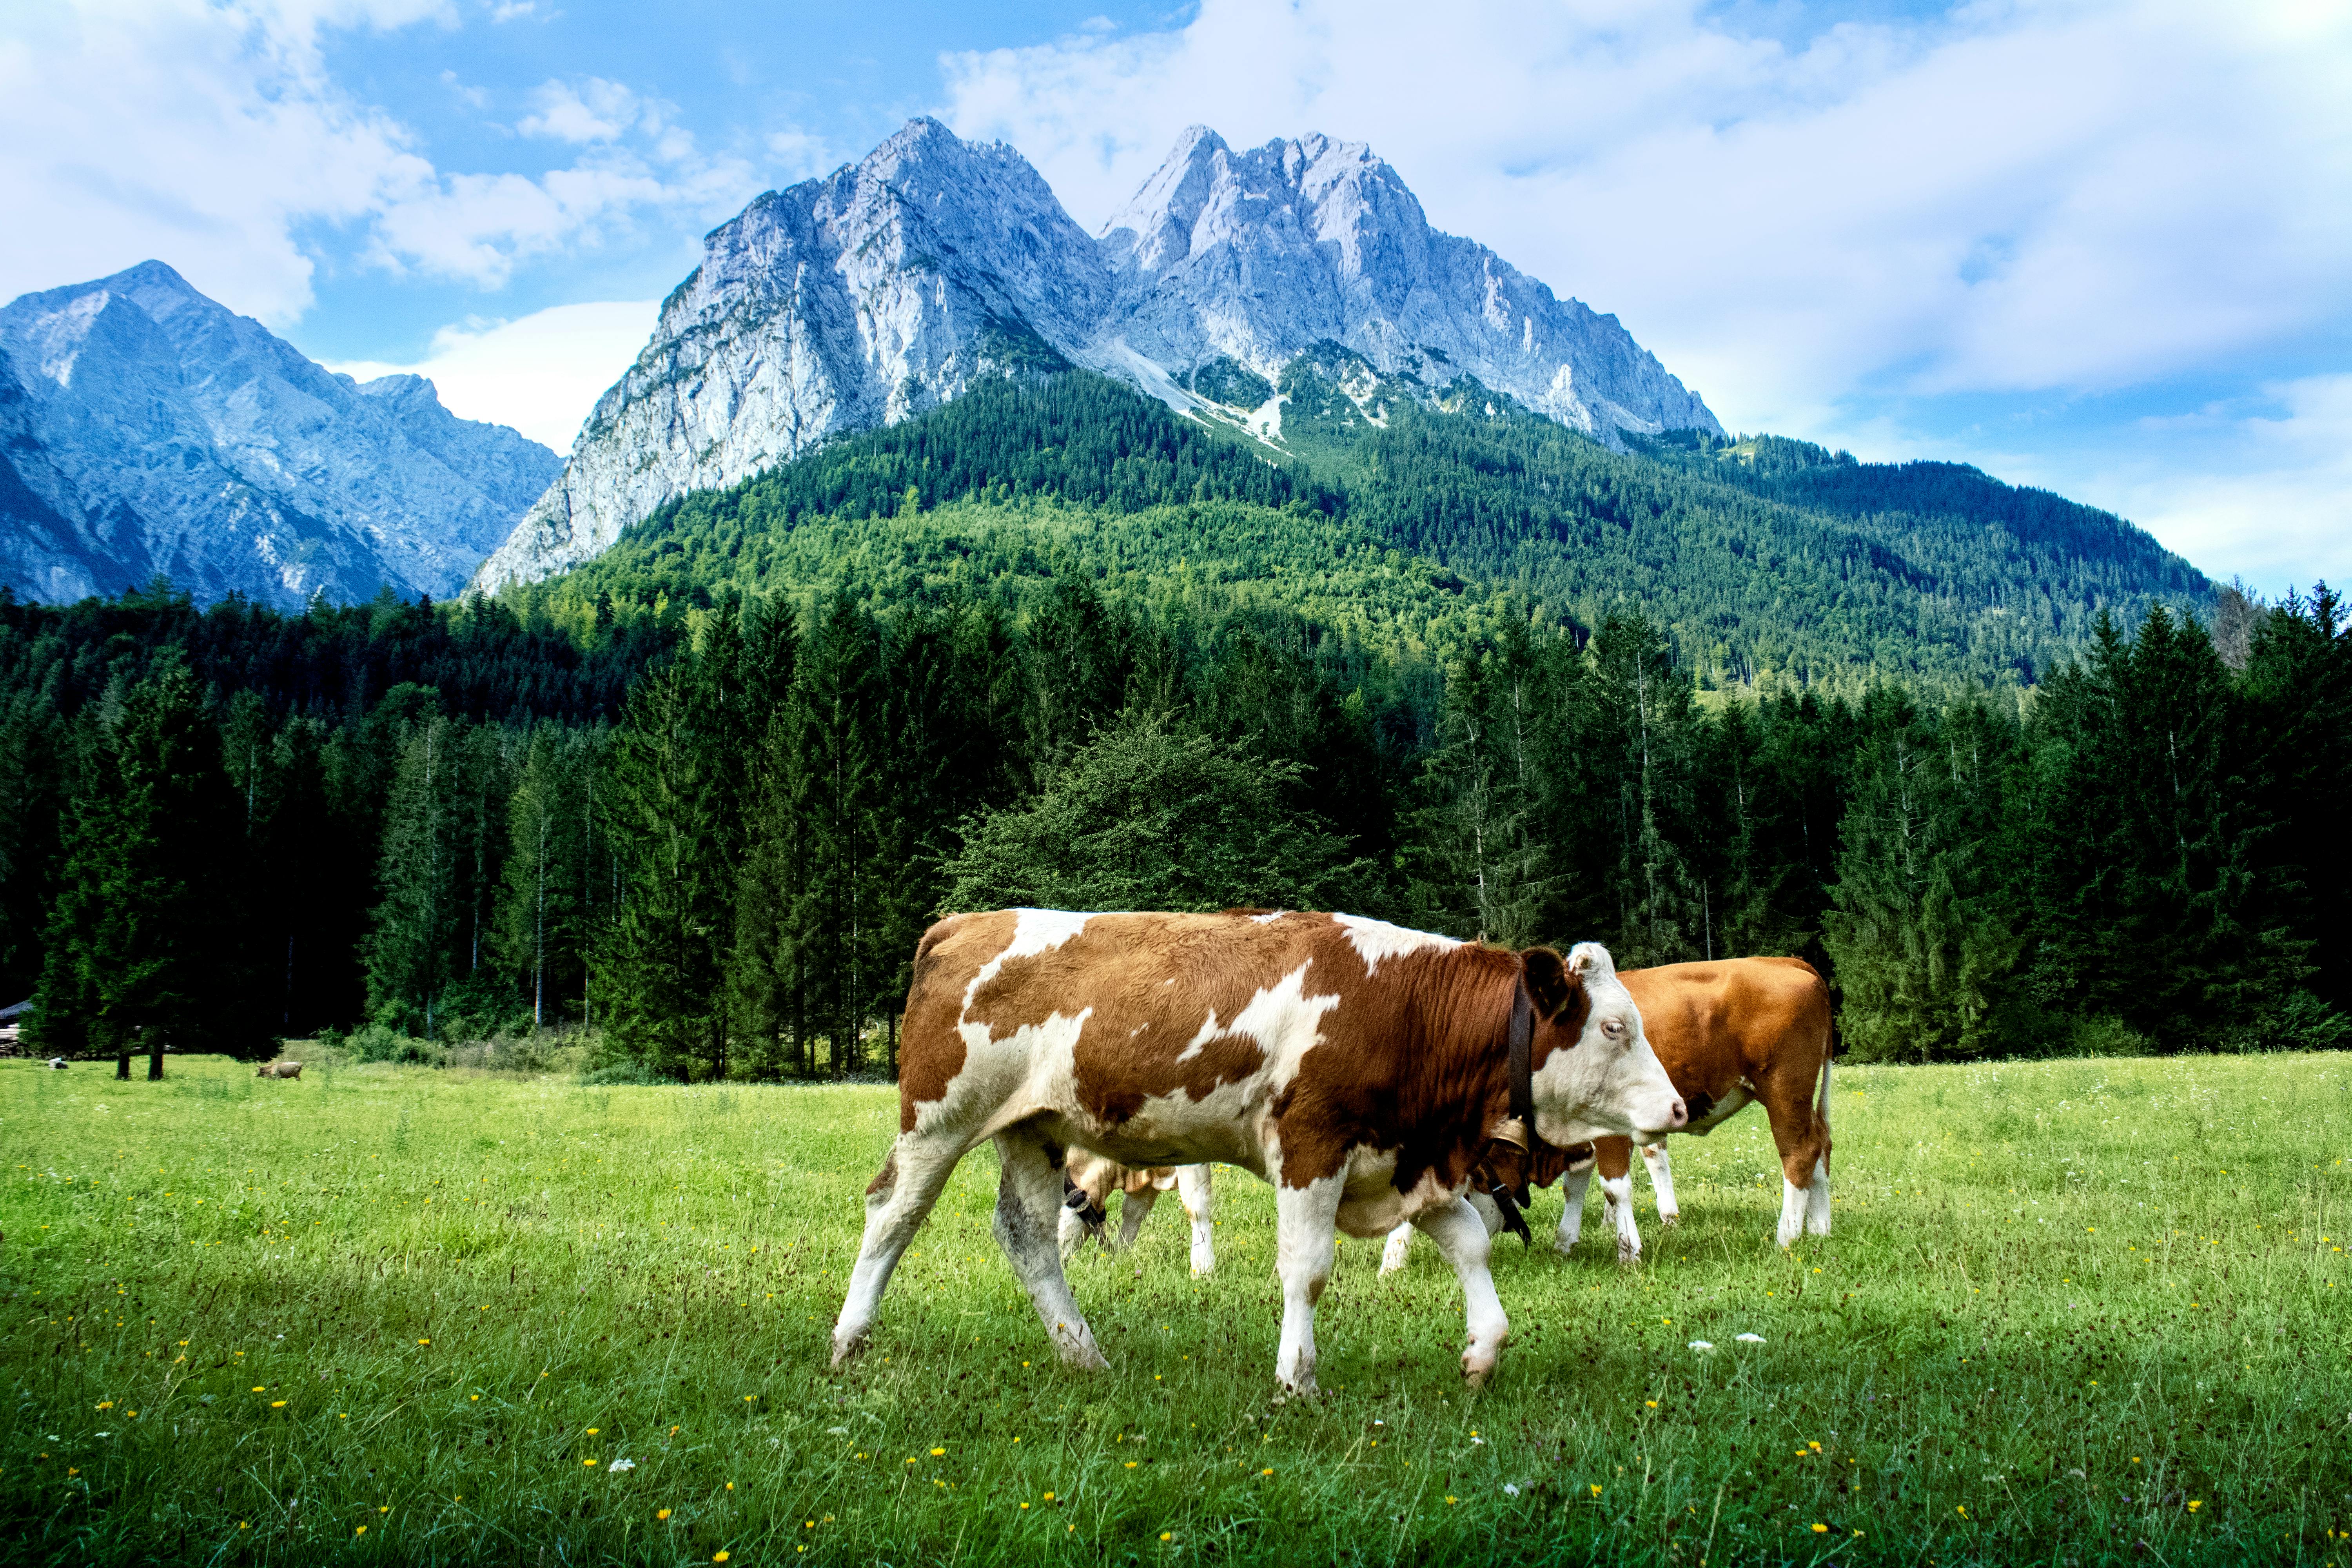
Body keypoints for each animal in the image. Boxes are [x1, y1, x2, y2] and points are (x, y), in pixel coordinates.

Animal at [1374, 949, 1835, 1269]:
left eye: (1479, 1186)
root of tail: (1788, 961)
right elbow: (1576, 1185)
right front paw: (1566, 1241)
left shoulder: (1609, 1129)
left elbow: (1614, 1187)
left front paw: (1628, 1252)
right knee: (1822, 1145)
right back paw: (1819, 1228)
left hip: (1784, 1089)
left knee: (1800, 1151)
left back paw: (1787, 1237)